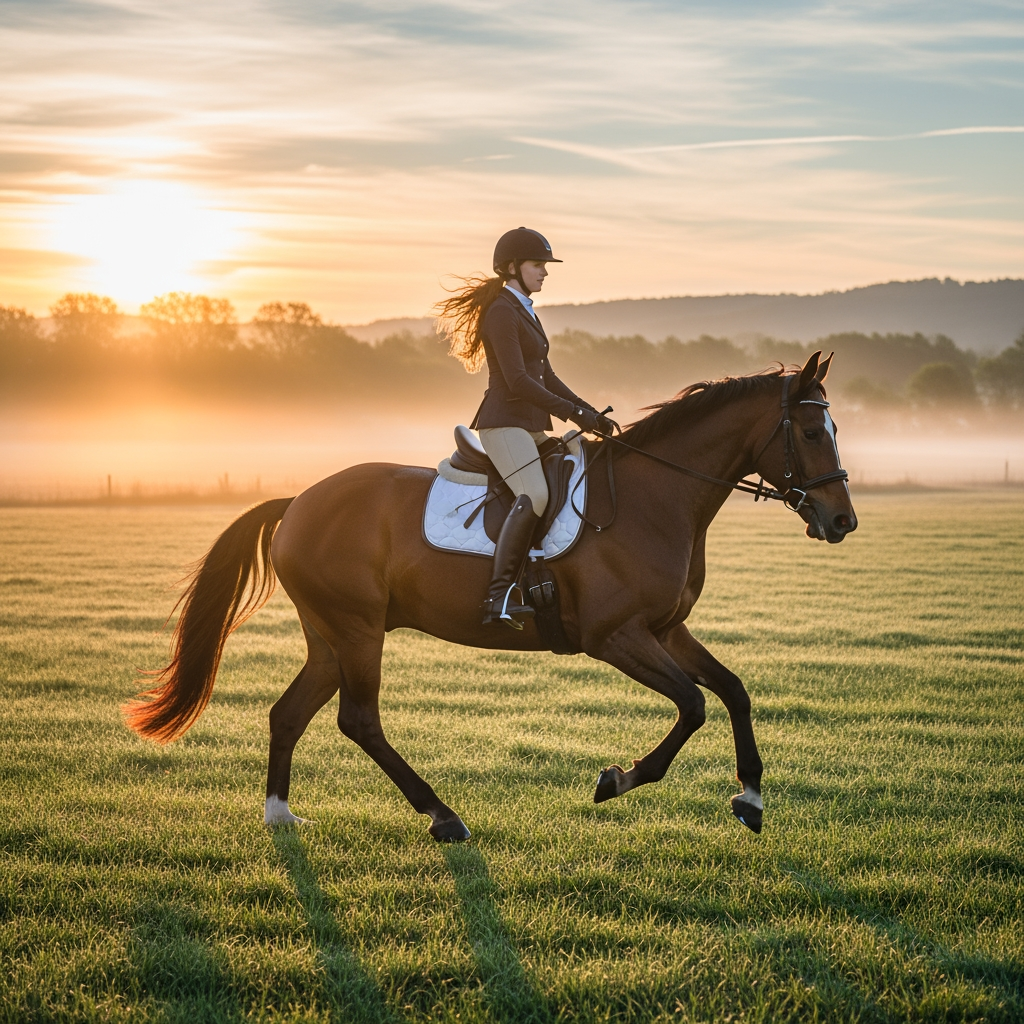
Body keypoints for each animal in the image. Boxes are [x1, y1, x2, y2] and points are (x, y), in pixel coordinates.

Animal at [124, 351, 857, 841]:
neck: (654, 498)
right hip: (356, 630)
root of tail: (299, 501)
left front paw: (751, 799)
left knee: (289, 714)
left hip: (332, 634)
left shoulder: (667, 629)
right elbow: (694, 705)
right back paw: (443, 816)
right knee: (358, 720)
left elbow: (733, 691)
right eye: (811, 432)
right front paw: (615, 780)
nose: (842, 521)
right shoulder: (616, 637)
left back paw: (280, 815)